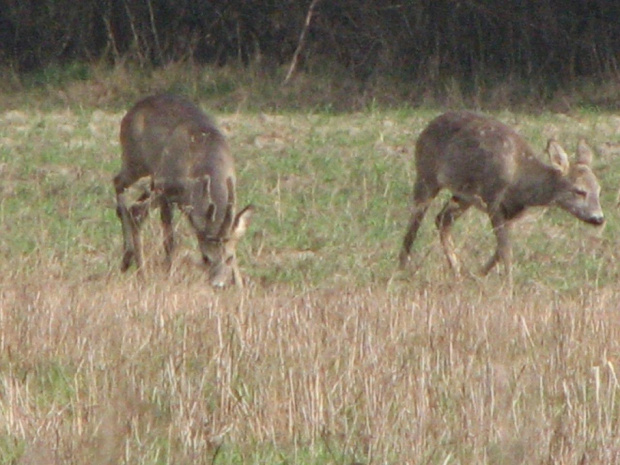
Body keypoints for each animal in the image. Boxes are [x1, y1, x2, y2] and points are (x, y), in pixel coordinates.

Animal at [112, 94, 253, 286]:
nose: (218, 284)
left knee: (129, 198)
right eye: (206, 258)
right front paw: (166, 274)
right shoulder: (166, 189)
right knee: (121, 187)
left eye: (230, 258)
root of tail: (132, 109)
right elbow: (169, 239)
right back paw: (134, 265)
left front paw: (239, 284)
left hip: (150, 178)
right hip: (136, 161)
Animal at [398, 110, 604, 280]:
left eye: (598, 190)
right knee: (414, 223)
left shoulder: (513, 212)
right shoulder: (494, 199)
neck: (521, 180)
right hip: (426, 175)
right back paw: (403, 268)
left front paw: (479, 273)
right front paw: (508, 283)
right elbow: (505, 248)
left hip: (463, 195)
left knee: (442, 219)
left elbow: (500, 248)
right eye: (579, 191)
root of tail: (427, 127)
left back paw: (456, 271)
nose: (598, 218)